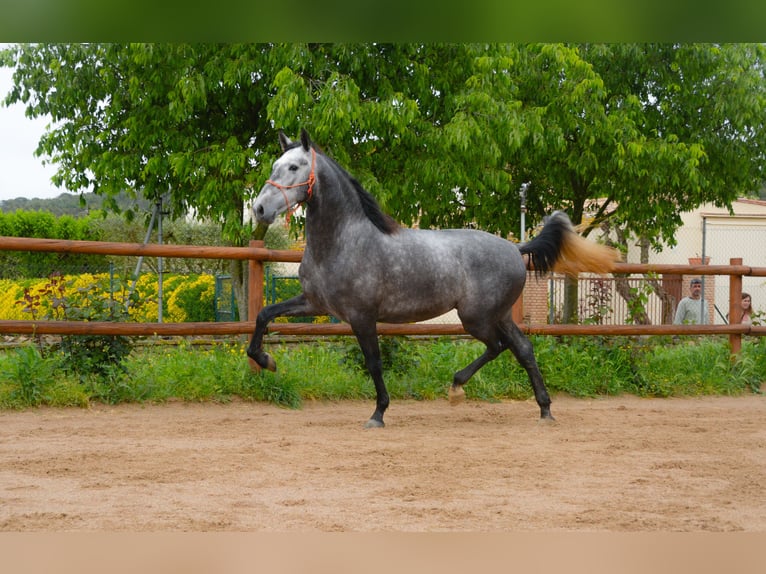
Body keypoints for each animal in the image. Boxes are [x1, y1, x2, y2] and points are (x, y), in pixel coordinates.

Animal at [248, 129, 620, 428]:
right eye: (274, 165)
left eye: (294, 167)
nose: (259, 209)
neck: (344, 241)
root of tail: (516, 248)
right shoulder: (314, 303)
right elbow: (263, 316)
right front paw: (266, 361)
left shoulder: (362, 316)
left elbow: (374, 363)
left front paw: (378, 414)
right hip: (497, 315)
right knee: (523, 349)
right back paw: (544, 410)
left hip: (476, 317)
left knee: (498, 346)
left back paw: (458, 388)